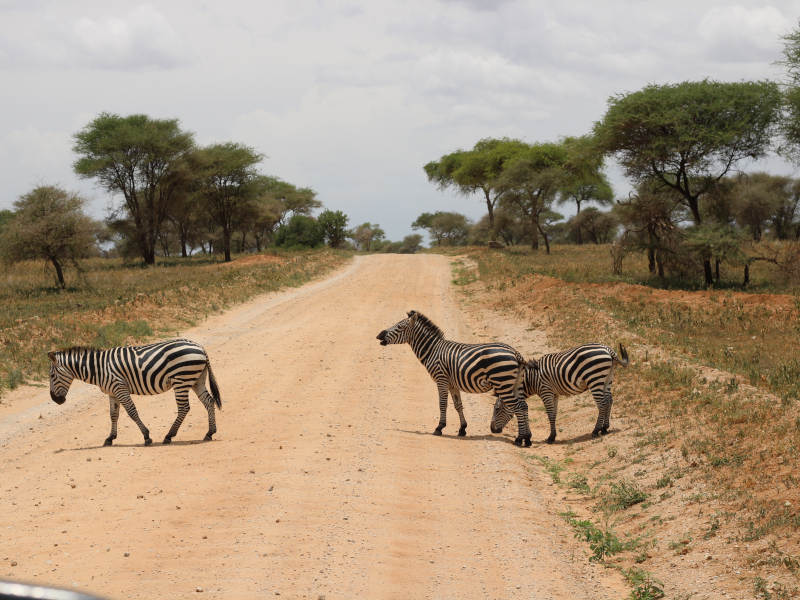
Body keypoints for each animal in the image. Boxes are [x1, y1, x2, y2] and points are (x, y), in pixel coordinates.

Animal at [47, 338, 222, 446]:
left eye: (51, 376)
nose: (56, 400)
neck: (99, 369)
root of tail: (200, 348)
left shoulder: (120, 387)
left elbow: (132, 412)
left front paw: (146, 436)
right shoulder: (112, 392)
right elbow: (113, 415)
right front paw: (110, 438)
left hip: (182, 380)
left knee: (184, 408)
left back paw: (169, 435)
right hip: (196, 379)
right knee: (209, 401)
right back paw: (209, 433)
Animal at [376, 310, 536, 446]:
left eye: (399, 327)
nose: (379, 335)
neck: (432, 350)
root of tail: (515, 352)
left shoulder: (441, 379)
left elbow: (442, 404)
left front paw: (439, 428)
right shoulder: (453, 384)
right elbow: (458, 405)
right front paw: (462, 429)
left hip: (503, 383)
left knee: (517, 407)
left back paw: (519, 439)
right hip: (516, 384)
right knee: (523, 406)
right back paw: (527, 439)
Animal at [490, 342, 628, 446]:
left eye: (497, 409)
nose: (492, 430)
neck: (531, 380)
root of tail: (608, 350)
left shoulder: (545, 391)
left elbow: (550, 414)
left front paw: (551, 437)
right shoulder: (554, 394)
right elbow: (555, 414)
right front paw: (552, 435)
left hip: (595, 379)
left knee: (602, 404)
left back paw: (596, 430)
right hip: (607, 379)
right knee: (609, 400)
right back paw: (605, 428)